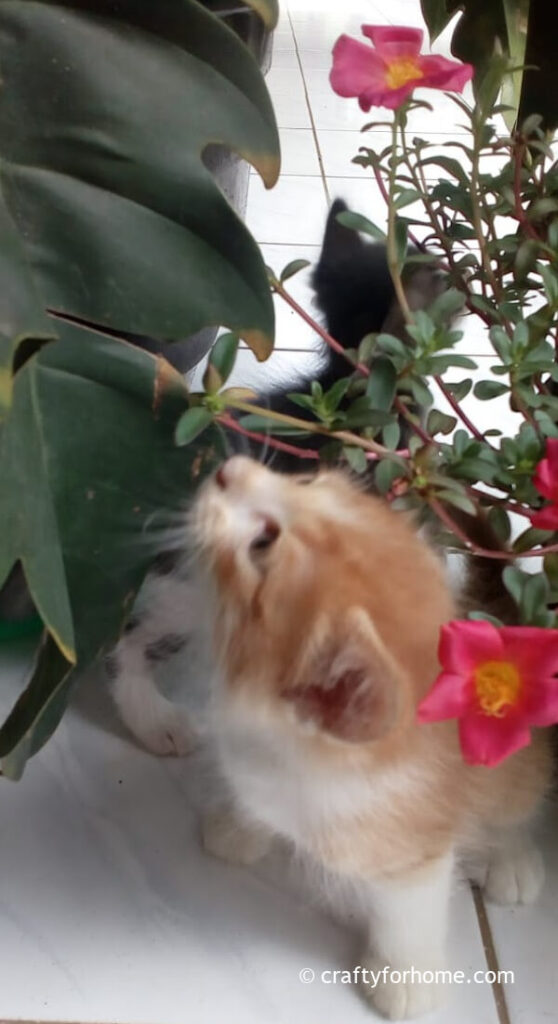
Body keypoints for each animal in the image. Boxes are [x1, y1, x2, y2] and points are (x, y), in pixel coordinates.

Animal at [192, 460, 552, 1019]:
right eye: (308, 482)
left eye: (262, 545)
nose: (230, 469)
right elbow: (253, 802)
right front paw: (239, 828)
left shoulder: (413, 847)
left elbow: (409, 914)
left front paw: (405, 980)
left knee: (516, 800)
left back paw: (511, 858)